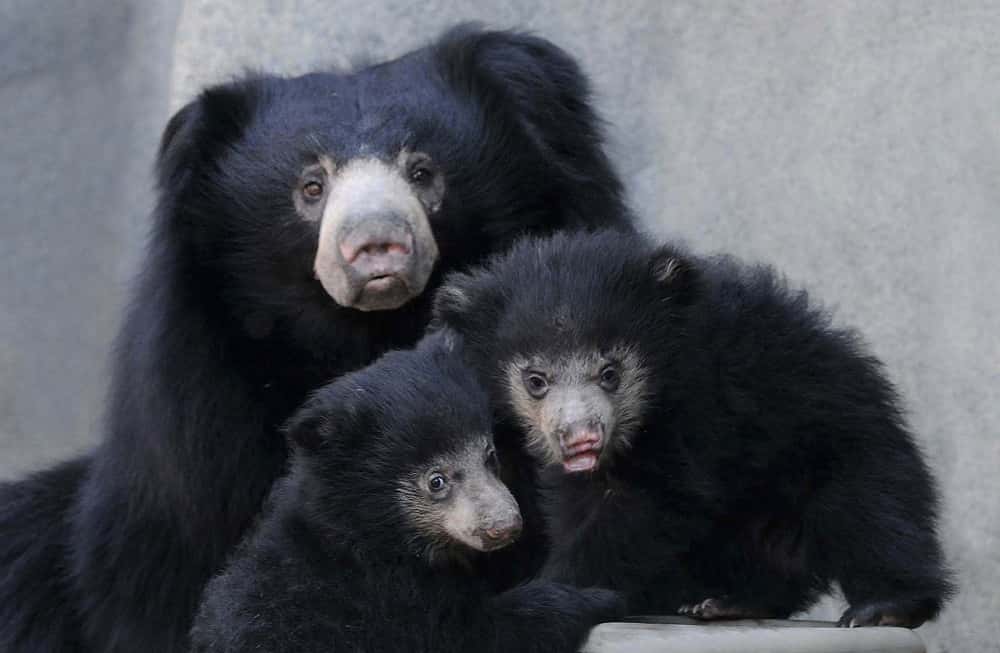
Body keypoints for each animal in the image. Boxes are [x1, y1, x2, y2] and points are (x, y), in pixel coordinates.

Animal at [190, 332, 620, 652]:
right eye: (436, 481)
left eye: (490, 456)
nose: (505, 526)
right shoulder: (383, 597)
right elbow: (472, 634)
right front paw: (596, 598)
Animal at [436, 232, 952, 628]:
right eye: (536, 380)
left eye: (610, 373)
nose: (582, 437)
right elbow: (579, 501)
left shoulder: (702, 404)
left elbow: (655, 500)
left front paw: (561, 589)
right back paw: (730, 601)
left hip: (842, 440)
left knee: (872, 511)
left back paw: (885, 607)